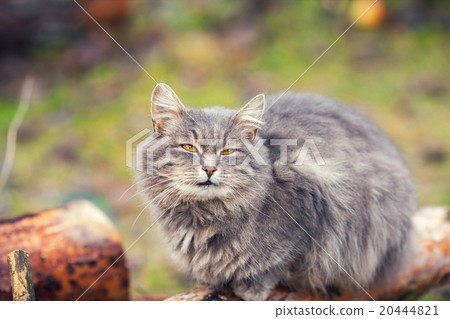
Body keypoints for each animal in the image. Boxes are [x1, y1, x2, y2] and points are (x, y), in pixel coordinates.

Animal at [134, 84, 414, 302]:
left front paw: (252, 286)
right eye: (188, 147)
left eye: (227, 151)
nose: (210, 168)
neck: (202, 218)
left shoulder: (310, 207)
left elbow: (277, 261)